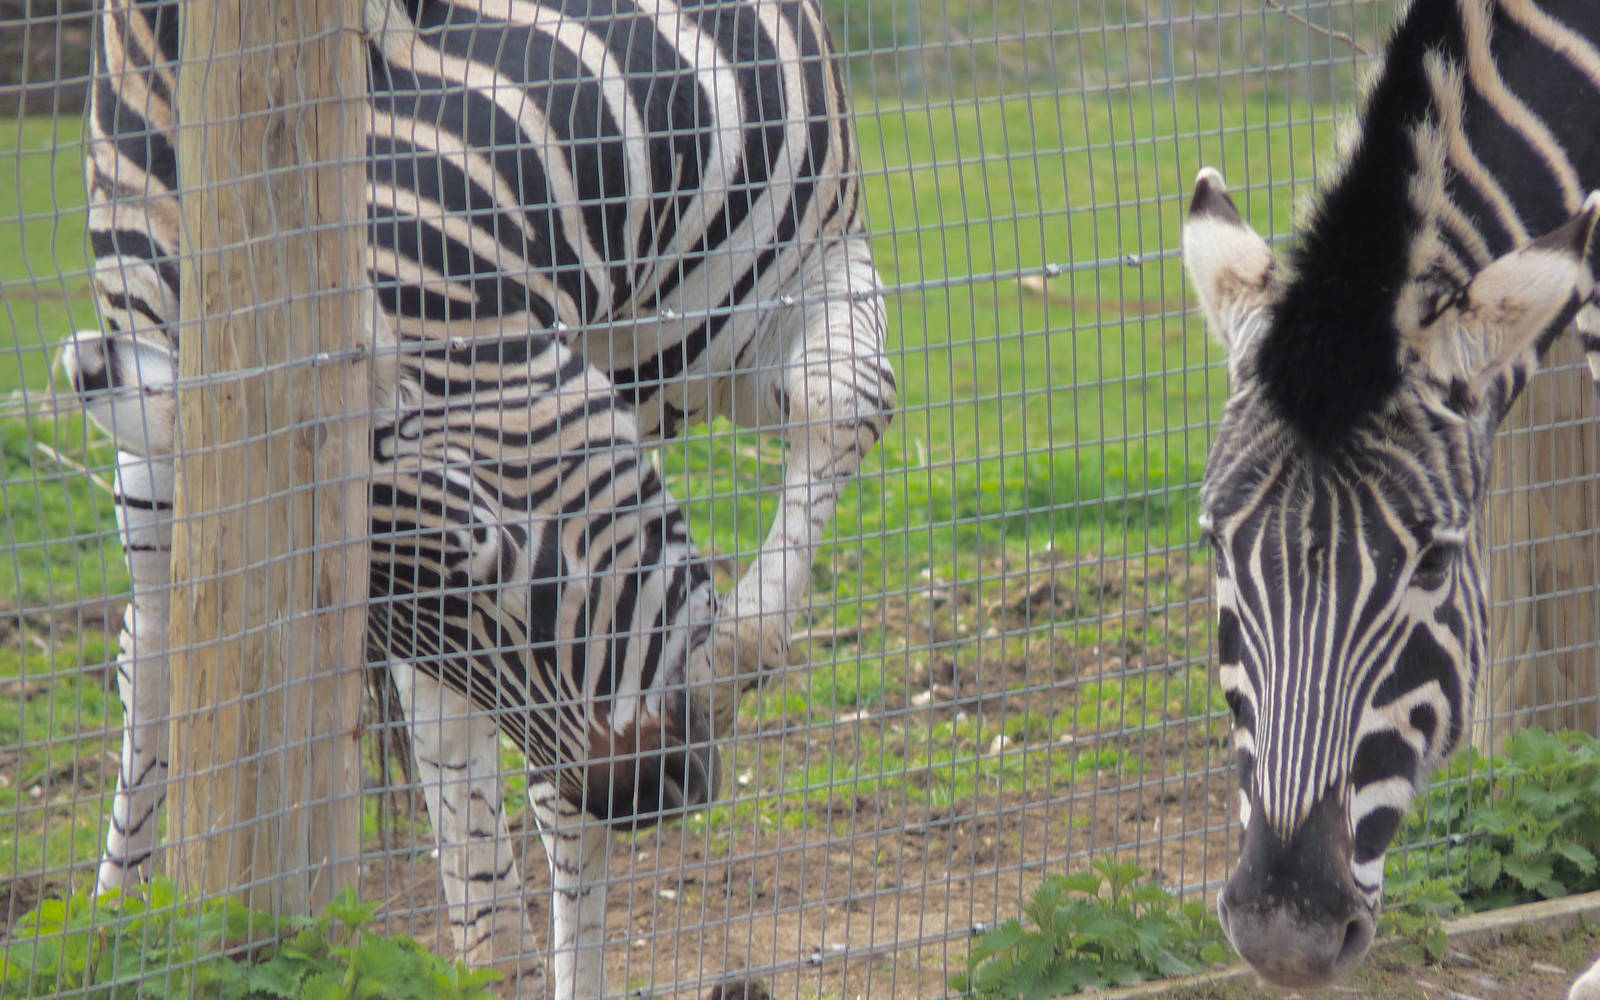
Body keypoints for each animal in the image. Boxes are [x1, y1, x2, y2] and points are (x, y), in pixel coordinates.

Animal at [57, 0, 894, 996]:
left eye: (490, 551)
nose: (641, 794)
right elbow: (507, 770)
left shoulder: (811, 269)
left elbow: (844, 405)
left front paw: (730, 664)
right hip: (161, 382)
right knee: (157, 652)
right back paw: (118, 927)